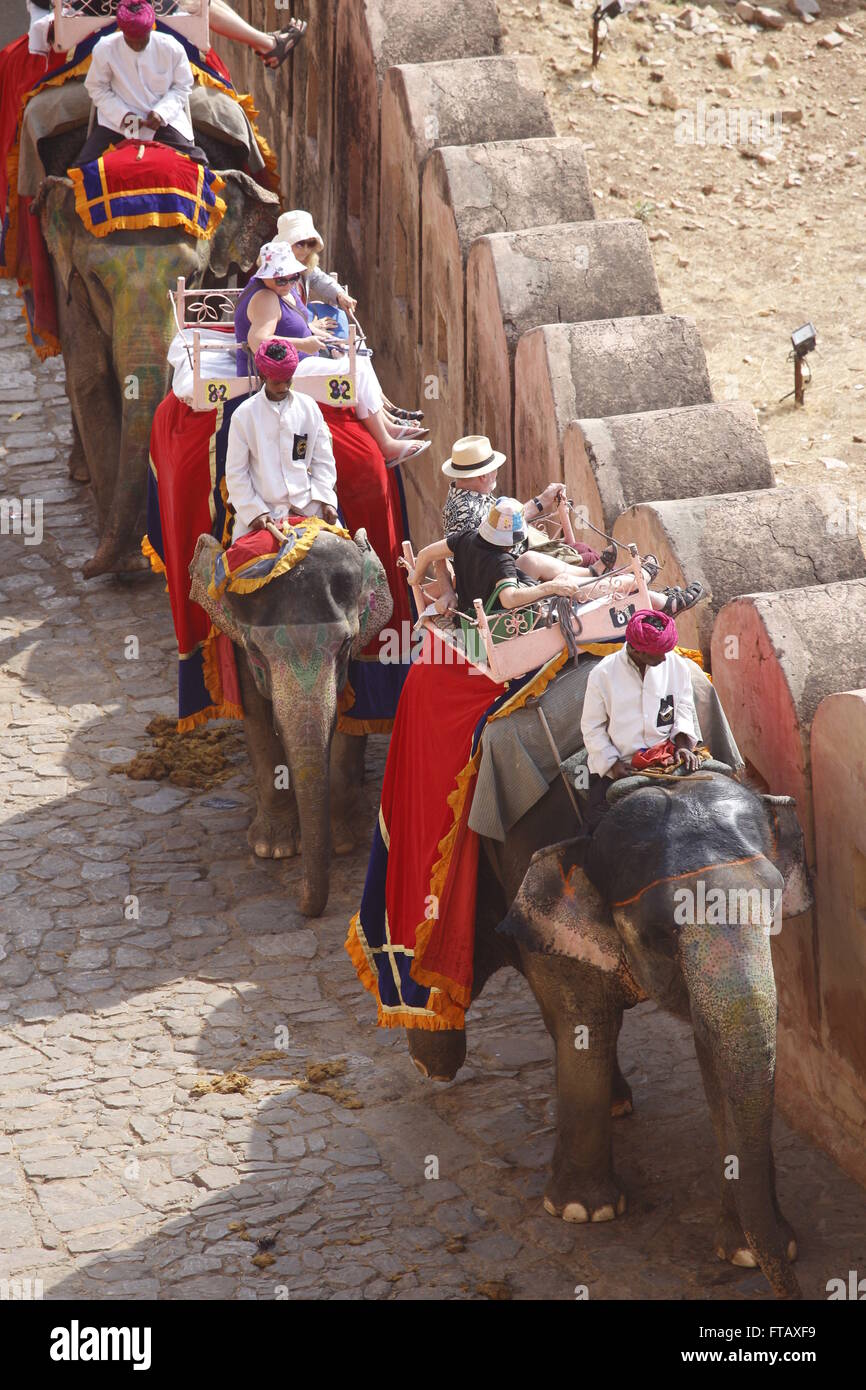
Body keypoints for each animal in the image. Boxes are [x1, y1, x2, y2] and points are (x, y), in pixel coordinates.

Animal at [191, 525, 394, 917]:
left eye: (344, 644)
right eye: (256, 651)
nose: (302, 906)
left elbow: (349, 718)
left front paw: (339, 842)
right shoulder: (240, 647)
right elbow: (256, 711)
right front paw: (276, 849)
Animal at [405, 772, 811, 1301]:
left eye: (774, 908)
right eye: (661, 933)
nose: (791, 1287)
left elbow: (714, 1049)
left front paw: (748, 1252)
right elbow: (585, 1023)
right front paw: (581, 1211)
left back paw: (617, 1101)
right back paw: (431, 1060)